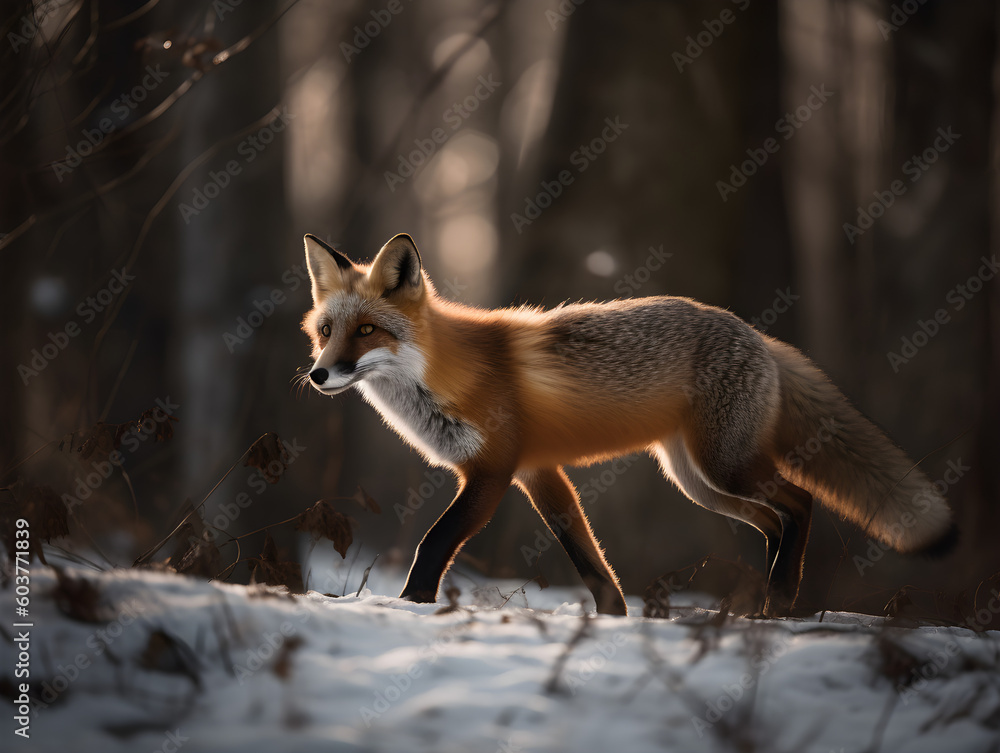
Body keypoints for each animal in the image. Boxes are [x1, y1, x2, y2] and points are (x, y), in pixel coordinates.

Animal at [300, 232, 956, 616]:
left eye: (368, 331)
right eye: (327, 330)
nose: (318, 375)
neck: (443, 376)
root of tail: (758, 334)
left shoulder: (493, 471)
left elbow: (434, 542)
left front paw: (411, 604)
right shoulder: (539, 473)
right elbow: (589, 560)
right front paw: (614, 617)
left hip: (726, 469)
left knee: (801, 503)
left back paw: (781, 601)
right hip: (698, 482)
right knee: (775, 520)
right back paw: (766, 601)